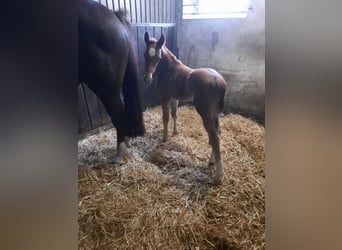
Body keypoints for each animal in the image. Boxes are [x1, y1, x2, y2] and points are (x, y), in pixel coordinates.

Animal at [144, 31, 227, 184]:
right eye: (145, 55)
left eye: (158, 57)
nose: (147, 78)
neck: (170, 70)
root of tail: (220, 83)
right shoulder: (174, 97)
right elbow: (174, 114)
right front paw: (175, 132)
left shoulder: (165, 96)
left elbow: (165, 117)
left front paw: (165, 138)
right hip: (215, 113)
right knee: (218, 132)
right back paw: (211, 161)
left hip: (205, 112)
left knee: (214, 137)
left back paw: (218, 175)